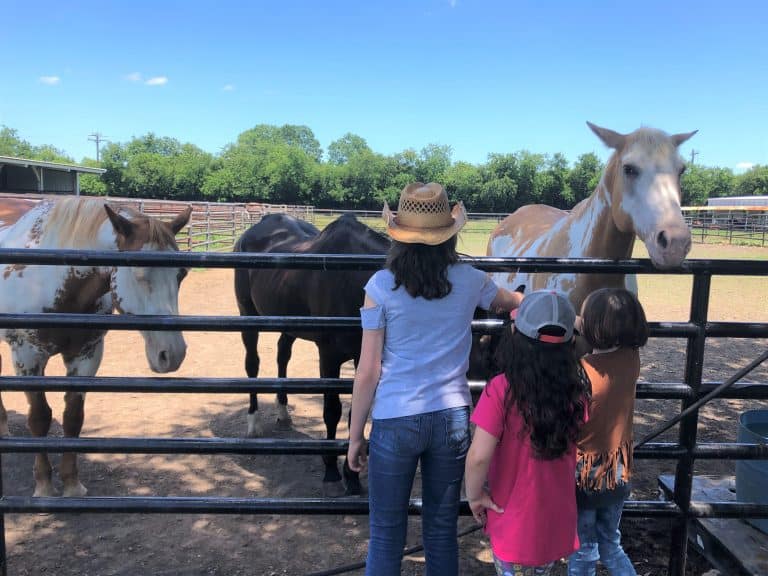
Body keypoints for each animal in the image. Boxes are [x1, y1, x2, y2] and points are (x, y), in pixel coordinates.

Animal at [0, 196, 191, 498]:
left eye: (181, 273)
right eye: (139, 272)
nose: (172, 354)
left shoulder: (87, 354)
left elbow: (73, 417)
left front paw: (71, 485)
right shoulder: (27, 356)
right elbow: (39, 418)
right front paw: (44, 485)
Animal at [234, 212, 390, 496]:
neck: (355, 281)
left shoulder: (361, 357)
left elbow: (356, 413)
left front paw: (352, 477)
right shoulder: (328, 356)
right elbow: (332, 411)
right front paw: (331, 472)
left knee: (282, 355)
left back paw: (283, 414)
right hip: (247, 316)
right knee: (252, 364)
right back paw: (253, 424)